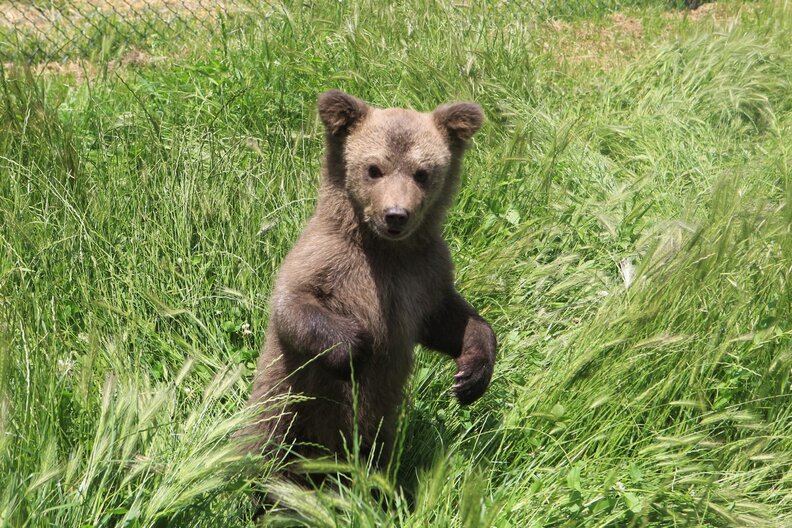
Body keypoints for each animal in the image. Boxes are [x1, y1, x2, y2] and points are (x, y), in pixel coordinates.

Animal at [242, 90, 496, 472]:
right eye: (374, 168)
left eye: (422, 173)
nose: (396, 215)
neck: (383, 250)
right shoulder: (325, 259)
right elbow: (293, 306)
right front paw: (355, 348)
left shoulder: (423, 277)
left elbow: (450, 318)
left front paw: (470, 376)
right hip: (282, 408)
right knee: (260, 445)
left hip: (378, 436)